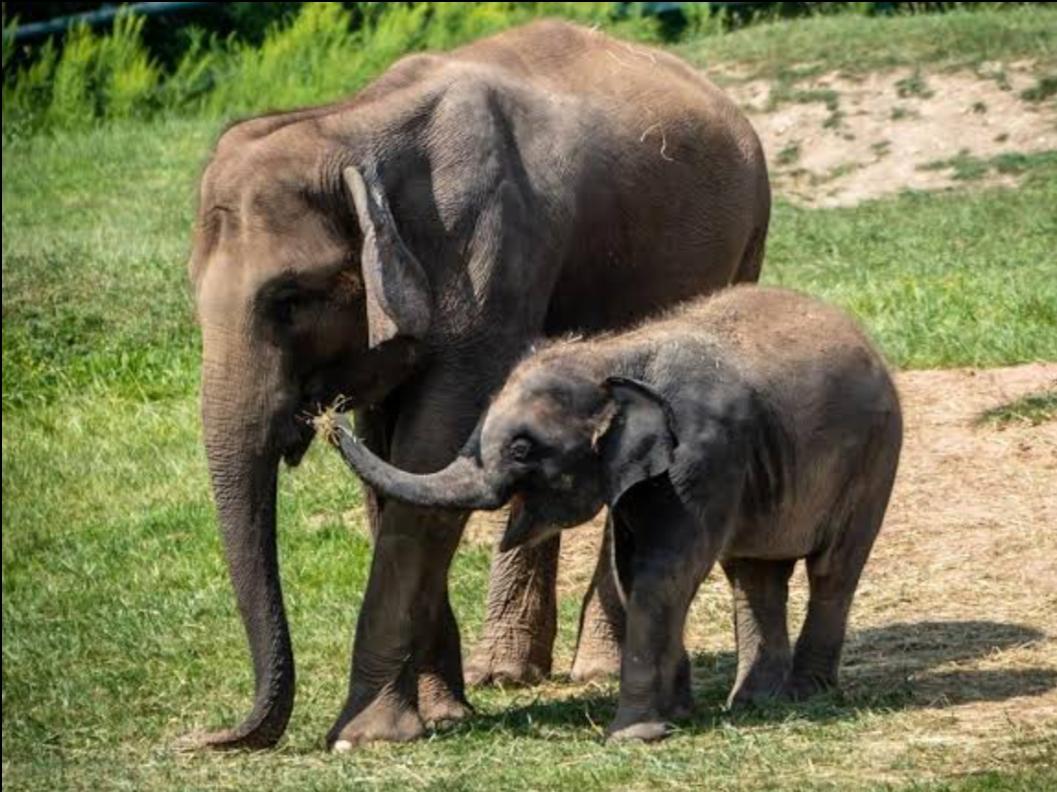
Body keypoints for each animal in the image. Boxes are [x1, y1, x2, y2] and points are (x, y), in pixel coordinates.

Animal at [187, 19, 769, 750]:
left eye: (288, 300)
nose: (210, 737)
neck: (349, 125)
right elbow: (394, 467)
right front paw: (439, 714)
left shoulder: (486, 262)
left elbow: (431, 450)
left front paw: (367, 734)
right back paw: (508, 672)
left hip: (744, 248)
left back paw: (592, 669)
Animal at [331, 286, 903, 741]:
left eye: (522, 449)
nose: (329, 418)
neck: (613, 356)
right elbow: (635, 573)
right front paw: (677, 715)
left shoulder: (704, 455)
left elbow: (664, 571)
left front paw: (633, 736)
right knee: (755, 575)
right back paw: (756, 701)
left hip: (874, 459)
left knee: (832, 570)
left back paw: (806, 694)